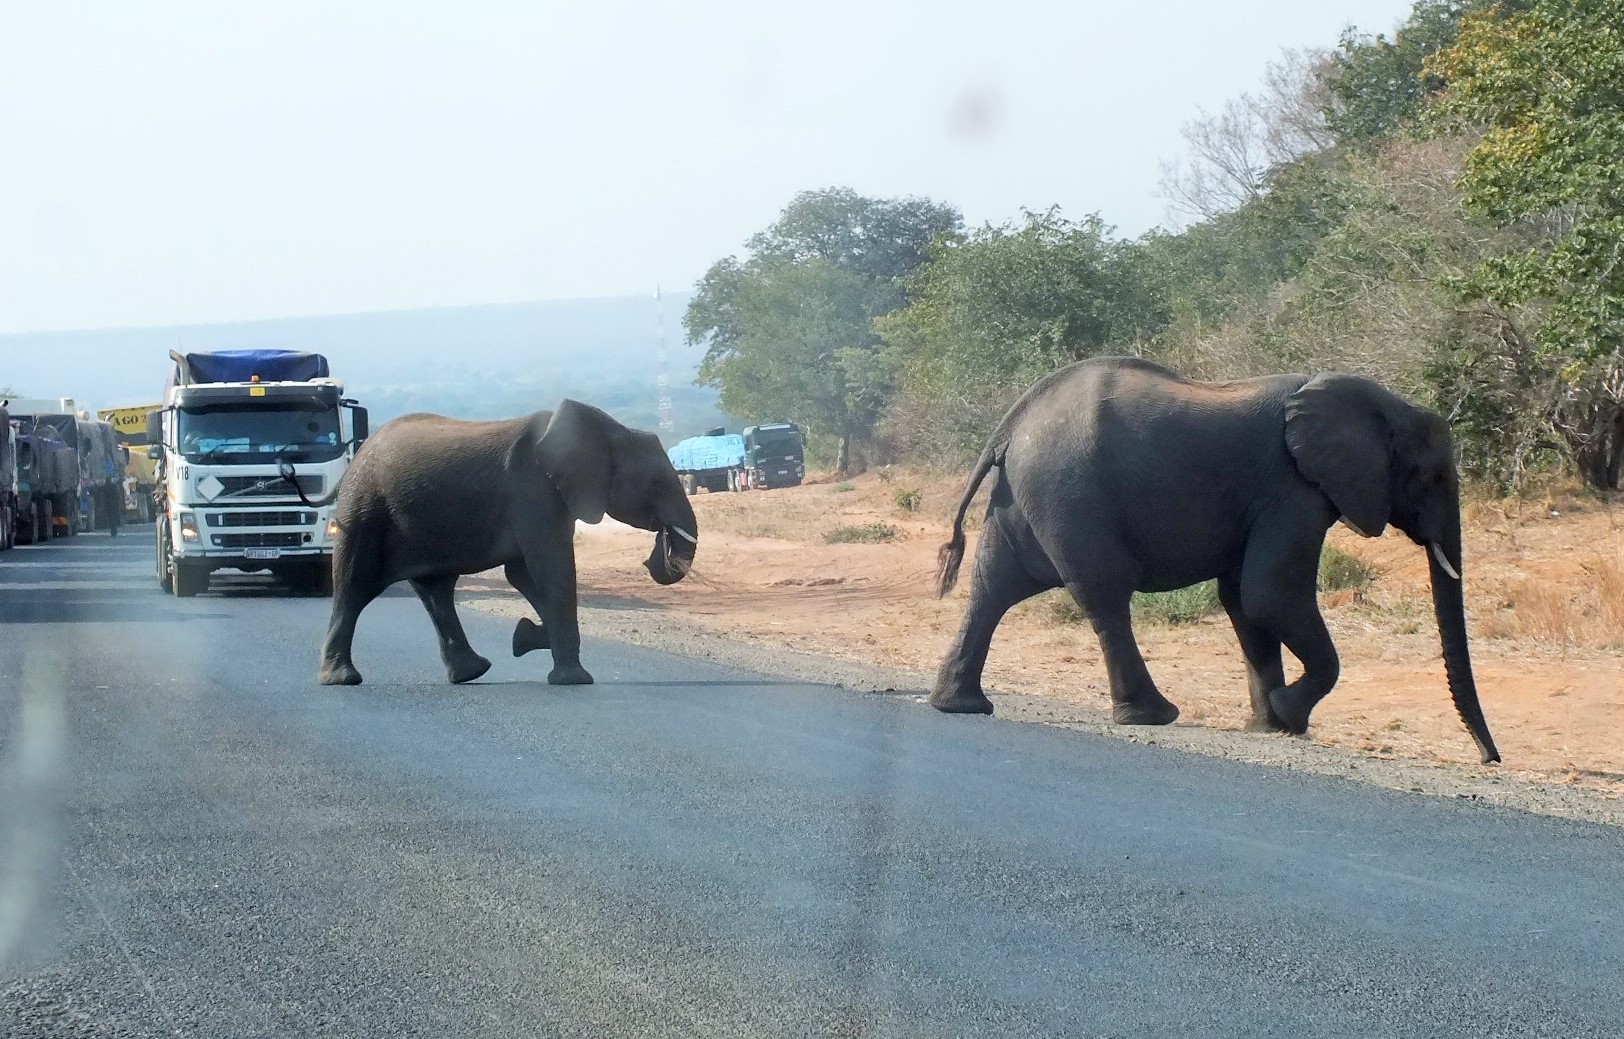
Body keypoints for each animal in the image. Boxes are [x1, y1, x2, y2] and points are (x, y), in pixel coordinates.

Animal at [318, 402, 698, 685]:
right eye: (657, 483)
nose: (656, 552)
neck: (606, 430)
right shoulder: (533, 491)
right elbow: (552, 569)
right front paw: (573, 679)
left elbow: (524, 574)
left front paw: (525, 637)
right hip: (365, 511)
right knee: (354, 586)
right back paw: (342, 679)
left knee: (436, 591)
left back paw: (472, 672)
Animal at [935, 355, 1500, 763]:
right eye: (1434, 476)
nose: (1489, 760)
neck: (1376, 401)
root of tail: (1011, 423)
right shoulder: (1293, 490)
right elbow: (1270, 594)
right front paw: (1288, 716)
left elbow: (1244, 602)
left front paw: (1270, 726)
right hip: (1070, 495)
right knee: (1104, 597)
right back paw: (1154, 715)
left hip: (1024, 495)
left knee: (994, 588)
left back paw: (960, 706)